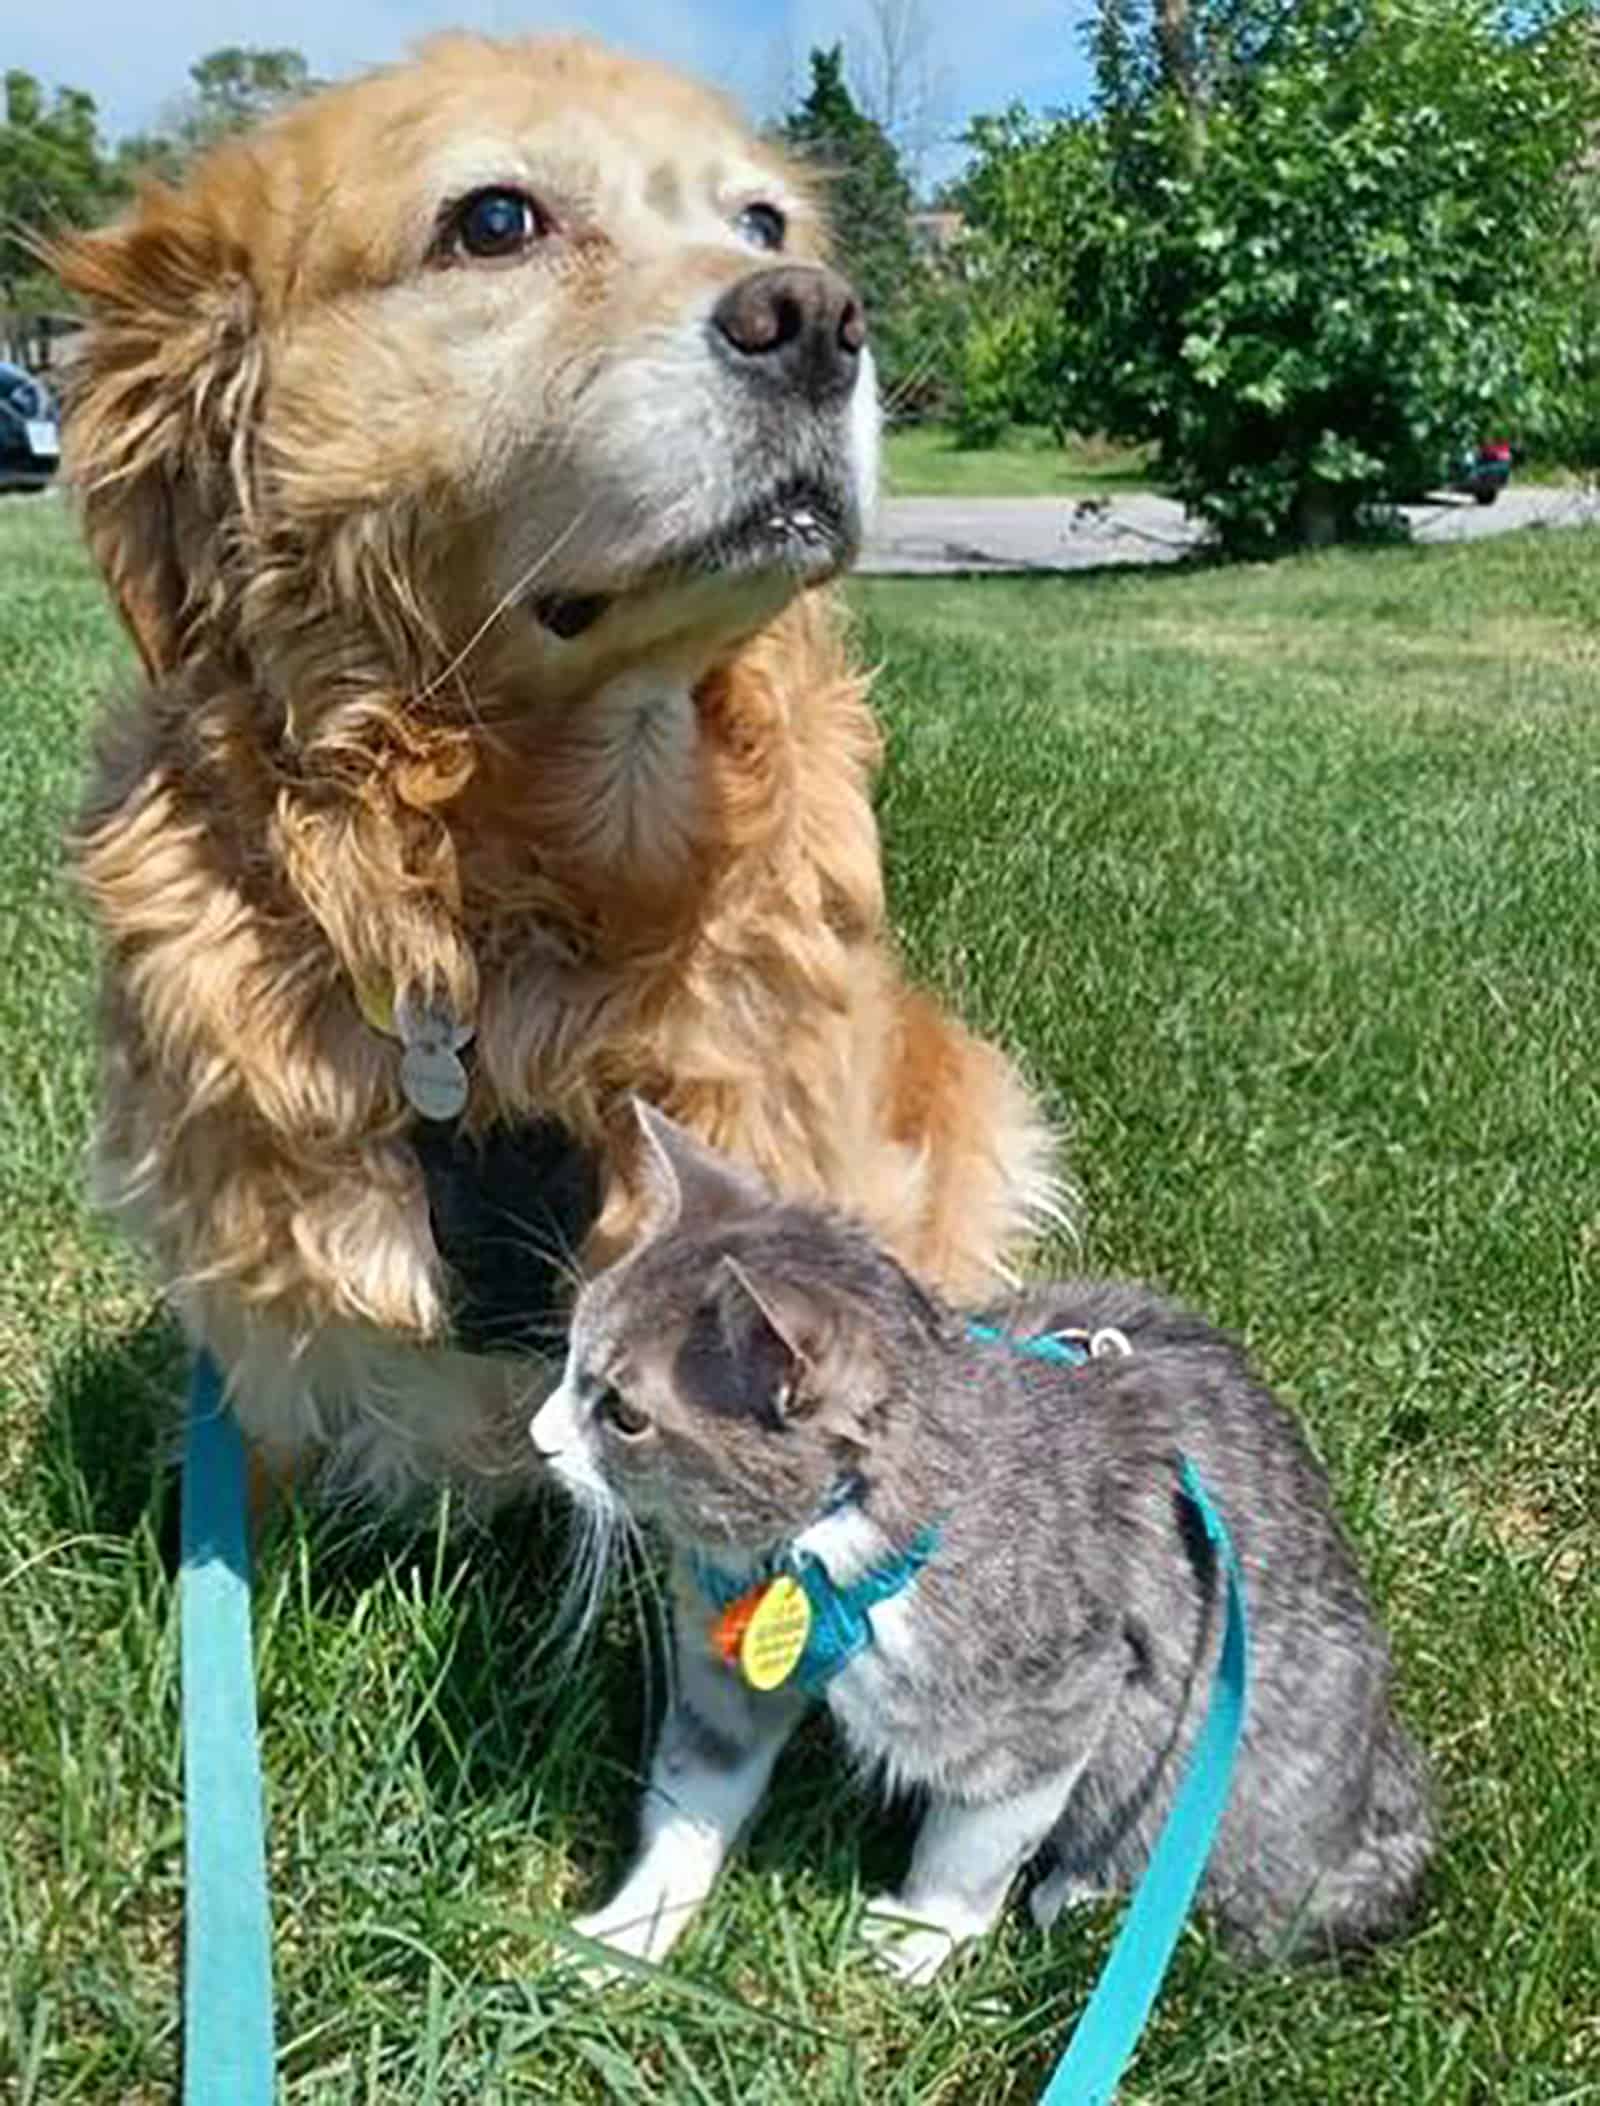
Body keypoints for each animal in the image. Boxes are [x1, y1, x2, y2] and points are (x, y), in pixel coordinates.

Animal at [530, 1111, 1431, 1979]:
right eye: (571, 1350)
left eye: (625, 1414)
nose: (539, 1438)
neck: (812, 1561)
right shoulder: (724, 1676)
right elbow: (690, 1803)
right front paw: (627, 1934)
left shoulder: (1056, 1702)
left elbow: (975, 1844)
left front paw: (922, 1934)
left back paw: (1085, 1896)